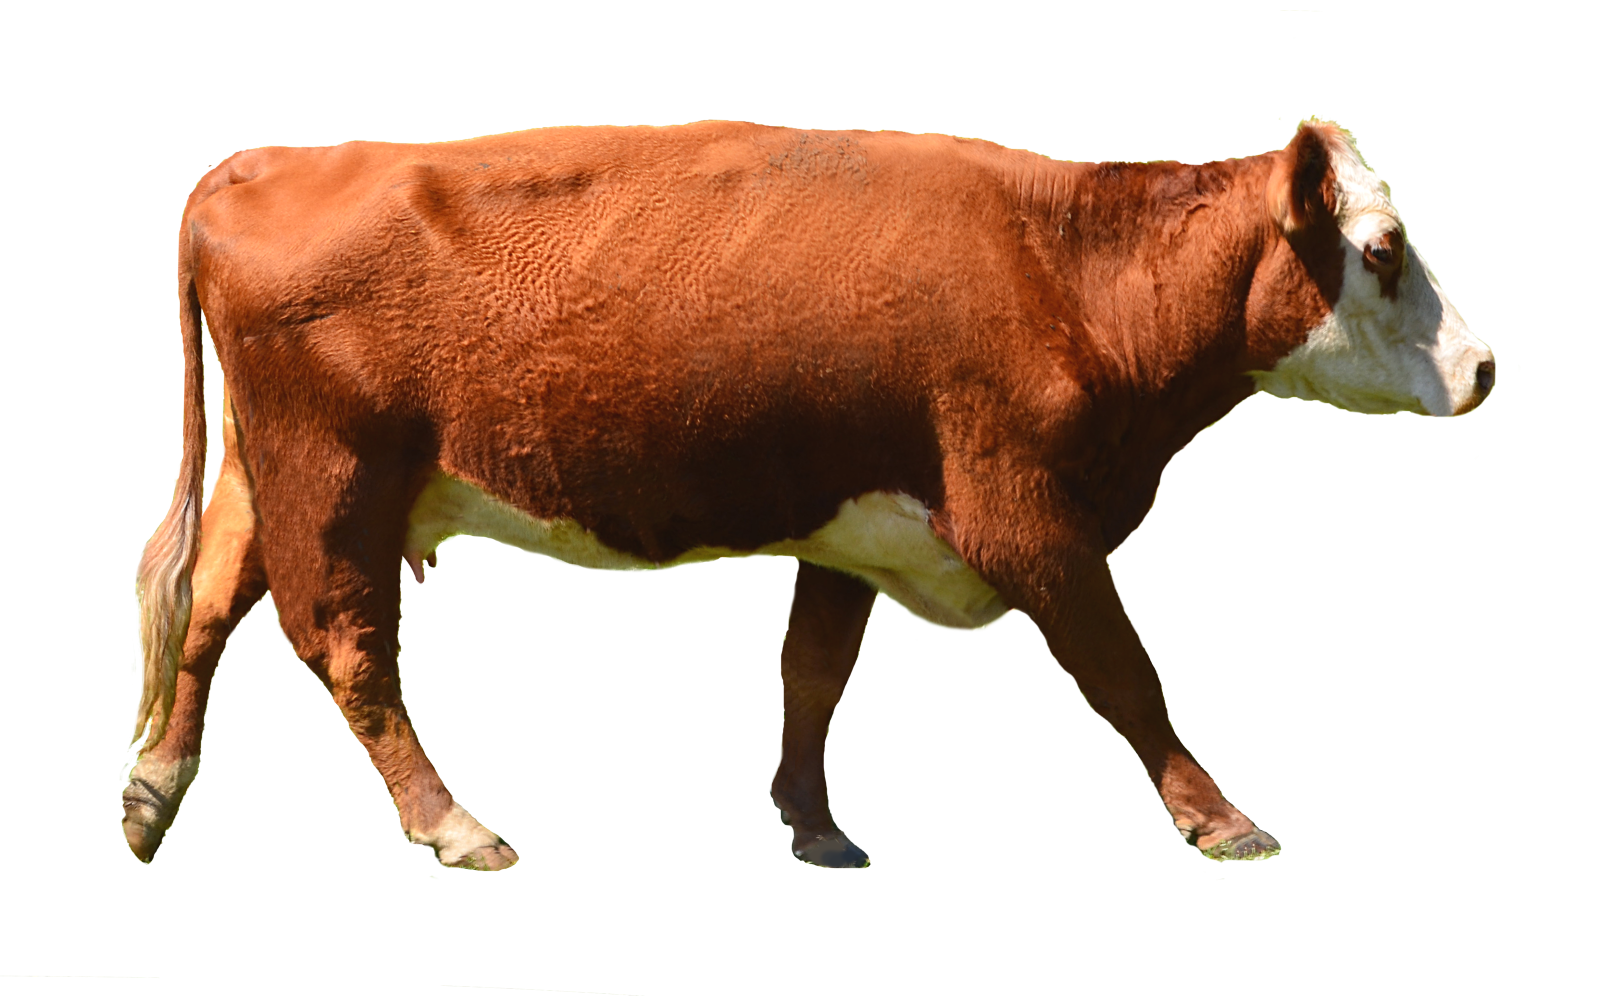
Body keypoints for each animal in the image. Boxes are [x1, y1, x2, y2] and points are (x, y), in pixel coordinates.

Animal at [123, 117, 1495, 872]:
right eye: (1381, 249)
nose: (1485, 368)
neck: (1067, 272)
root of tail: (264, 163)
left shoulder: (855, 531)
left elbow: (813, 673)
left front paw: (813, 826)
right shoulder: (1026, 518)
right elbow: (1125, 675)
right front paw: (1222, 822)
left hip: (267, 472)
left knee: (205, 609)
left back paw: (154, 794)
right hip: (337, 475)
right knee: (347, 648)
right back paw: (454, 826)